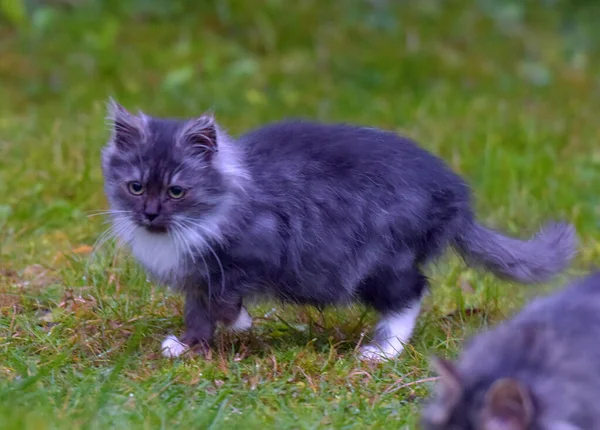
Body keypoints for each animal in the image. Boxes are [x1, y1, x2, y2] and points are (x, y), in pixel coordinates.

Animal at [98, 99, 576, 362]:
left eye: (176, 191)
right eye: (136, 187)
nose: (150, 214)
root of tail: (455, 198)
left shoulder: (256, 251)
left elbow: (223, 300)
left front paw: (241, 325)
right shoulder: (196, 276)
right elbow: (198, 309)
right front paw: (189, 346)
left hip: (376, 258)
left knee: (412, 290)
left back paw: (383, 351)